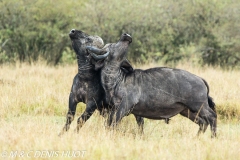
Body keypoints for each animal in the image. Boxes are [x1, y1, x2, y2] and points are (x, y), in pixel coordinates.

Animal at [86, 33, 218, 137]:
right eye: (113, 45)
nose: (126, 35)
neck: (117, 80)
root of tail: (200, 78)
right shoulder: (128, 112)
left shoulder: (123, 107)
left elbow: (112, 124)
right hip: (188, 111)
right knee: (203, 122)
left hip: (199, 106)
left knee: (212, 117)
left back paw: (213, 137)